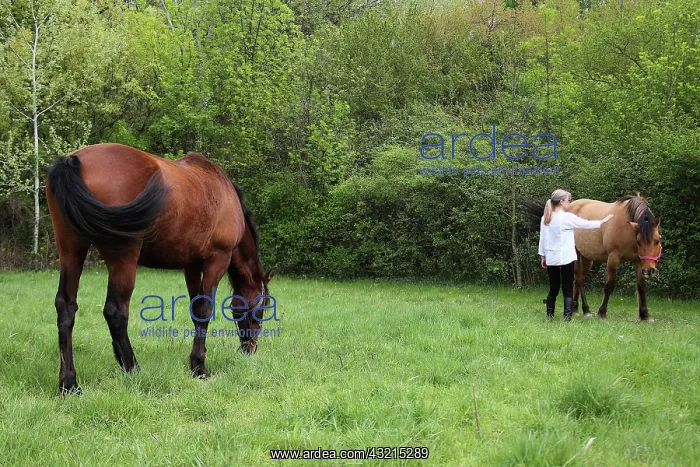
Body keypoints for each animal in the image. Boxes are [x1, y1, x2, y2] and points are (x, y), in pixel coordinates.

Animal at [46, 143, 275, 394]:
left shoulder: (191, 266)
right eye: (262, 309)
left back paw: (69, 383)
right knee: (115, 312)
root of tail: (72, 160)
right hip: (123, 258)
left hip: (71, 250)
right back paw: (132, 368)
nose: (250, 348)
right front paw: (199, 366)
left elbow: (196, 310)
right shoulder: (217, 260)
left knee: (66, 308)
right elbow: (205, 310)